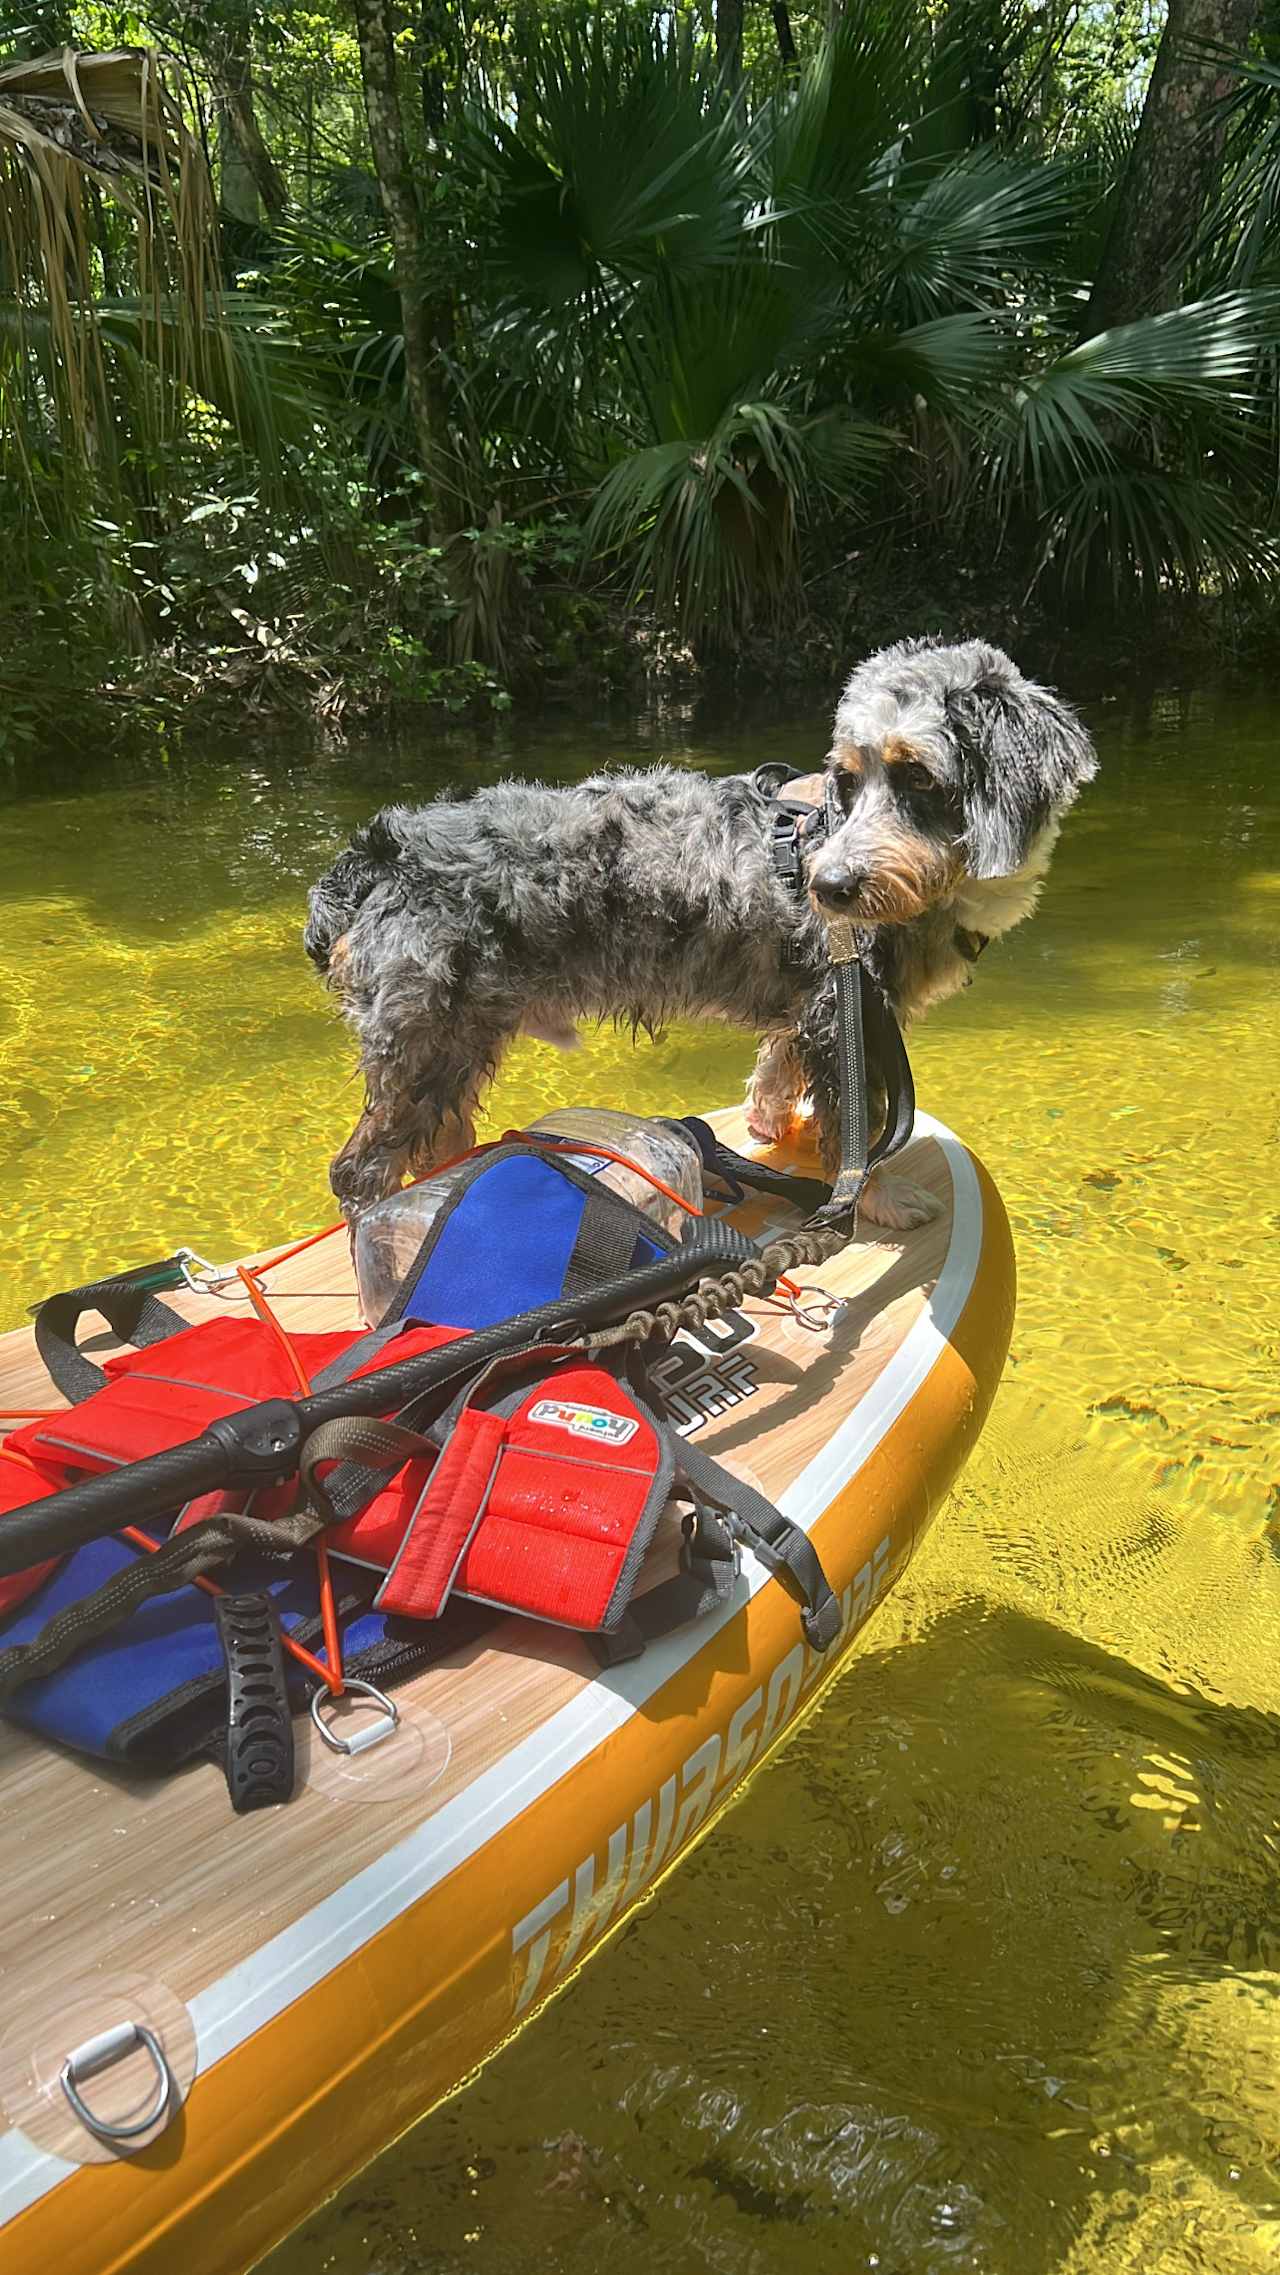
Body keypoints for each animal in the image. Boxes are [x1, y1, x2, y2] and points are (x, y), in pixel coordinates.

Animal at [304, 632, 1095, 1237]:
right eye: (848, 777)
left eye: (919, 778)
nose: (830, 889)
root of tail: (373, 856)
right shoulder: (845, 1016)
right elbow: (854, 1128)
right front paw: (879, 1198)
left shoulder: (814, 1005)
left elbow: (779, 1067)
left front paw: (768, 1123)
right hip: (428, 1041)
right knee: (359, 1168)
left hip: (458, 1043)